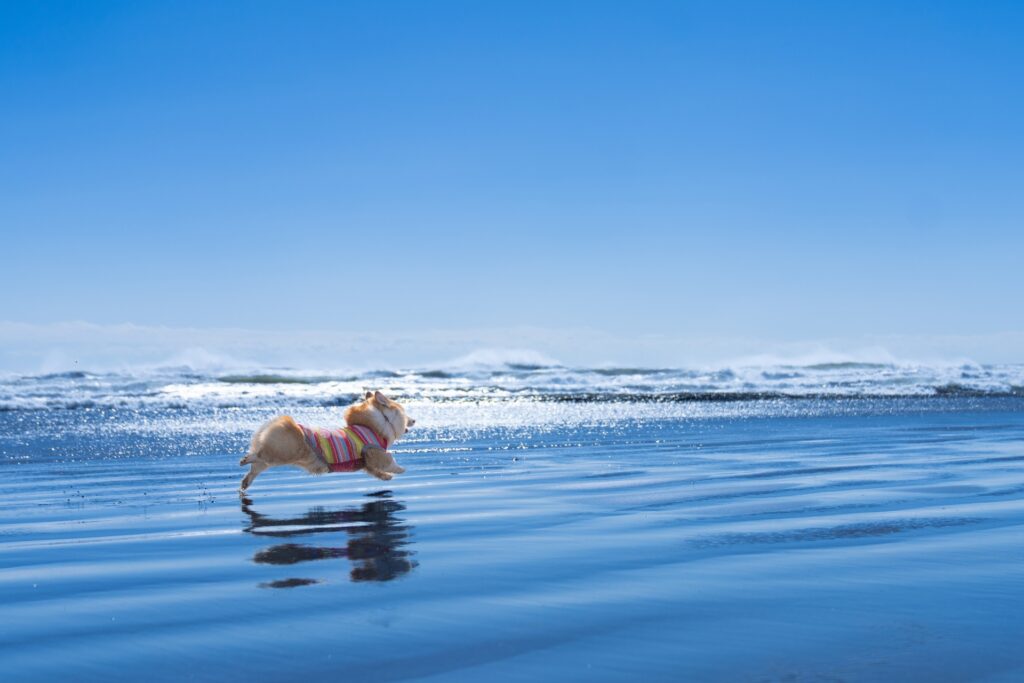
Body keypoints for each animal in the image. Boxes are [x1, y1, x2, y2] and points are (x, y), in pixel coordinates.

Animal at [237, 389, 413, 491]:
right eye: (406, 414)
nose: (414, 420)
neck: (376, 425)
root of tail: (281, 423)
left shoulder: (366, 463)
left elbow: (376, 471)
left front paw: (387, 477)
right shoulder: (376, 453)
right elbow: (389, 462)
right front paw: (401, 469)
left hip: (273, 459)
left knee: (255, 467)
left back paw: (245, 482)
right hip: (283, 453)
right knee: (259, 455)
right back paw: (245, 459)